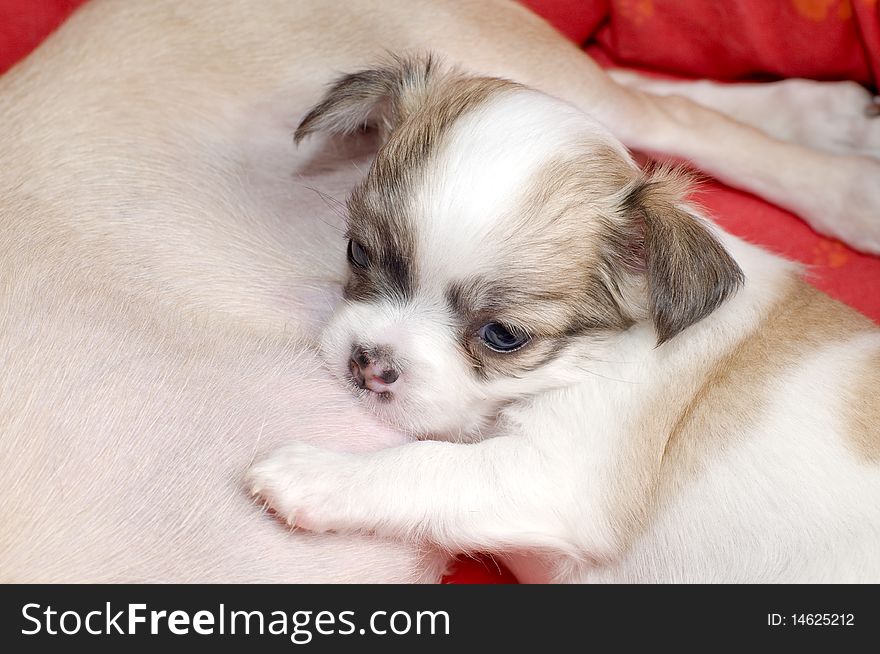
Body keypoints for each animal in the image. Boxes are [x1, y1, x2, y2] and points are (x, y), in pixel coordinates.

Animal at [248, 57, 880, 584]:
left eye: (504, 336)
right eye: (357, 252)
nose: (367, 363)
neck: (586, 359)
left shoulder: (552, 478)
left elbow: (425, 464)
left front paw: (313, 475)